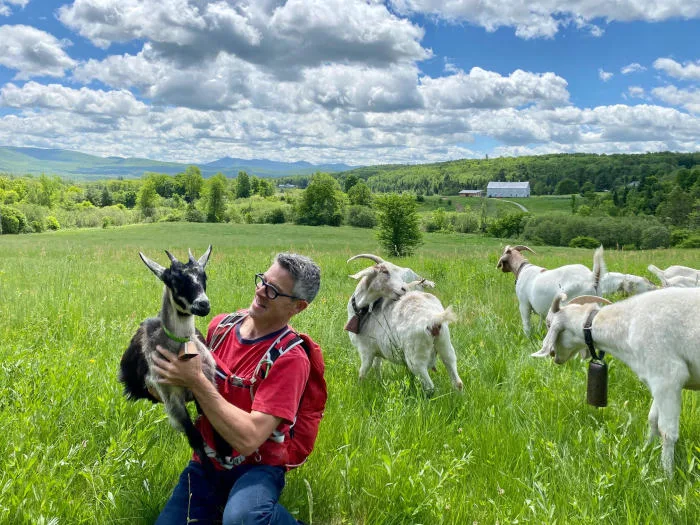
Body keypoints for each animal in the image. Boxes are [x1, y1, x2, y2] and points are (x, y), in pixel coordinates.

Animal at [119, 246, 216, 470]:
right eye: (175, 280)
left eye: (204, 276)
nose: (203, 305)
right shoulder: (172, 401)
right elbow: (195, 437)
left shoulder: (203, 388)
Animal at [346, 254, 464, 392]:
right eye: (385, 271)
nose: (404, 289)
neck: (363, 309)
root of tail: (433, 318)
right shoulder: (377, 350)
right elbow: (377, 367)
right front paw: (380, 383)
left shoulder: (366, 350)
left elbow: (362, 373)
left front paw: (360, 388)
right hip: (446, 346)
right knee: (457, 380)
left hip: (415, 358)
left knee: (429, 387)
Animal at [532, 288, 696, 476]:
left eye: (548, 324)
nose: (554, 356)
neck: (627, 325)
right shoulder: (657, 381)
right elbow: (652, 420)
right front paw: (646, 452)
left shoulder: (668, 376)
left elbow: (667, 432)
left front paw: (667, 474)